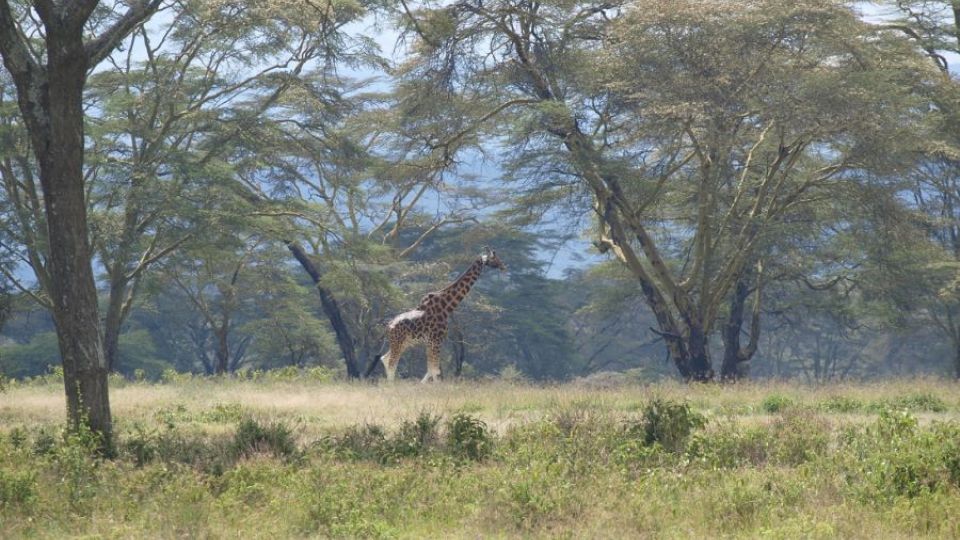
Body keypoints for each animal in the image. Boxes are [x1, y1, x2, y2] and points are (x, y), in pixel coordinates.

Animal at [366, 247, 506, 382]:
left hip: (403, 342)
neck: (446, 307)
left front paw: (424, 384)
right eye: (495, 258)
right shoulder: (436, 339)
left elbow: (431, 369)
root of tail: (388, 327)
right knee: (391, 363)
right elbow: (434, 369)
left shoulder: (430, 341)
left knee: (385, 358)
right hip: (398, 341)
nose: (504, 267)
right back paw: (392, 385)